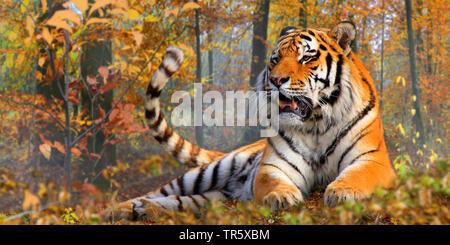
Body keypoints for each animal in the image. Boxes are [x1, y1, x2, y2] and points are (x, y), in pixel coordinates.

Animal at [106, 20, 398, 220]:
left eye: (306, 57)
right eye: (276, 59)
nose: (276, 80)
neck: (315, 122)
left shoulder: (373, 159)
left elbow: (358, 174)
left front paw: (343, 192)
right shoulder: (273, 165)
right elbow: (273, 181)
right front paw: (282, 197)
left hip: (214, 198)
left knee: (180, 202)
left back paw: (146, 210)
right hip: (207, 172)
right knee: (157, 192)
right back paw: (118, 209)